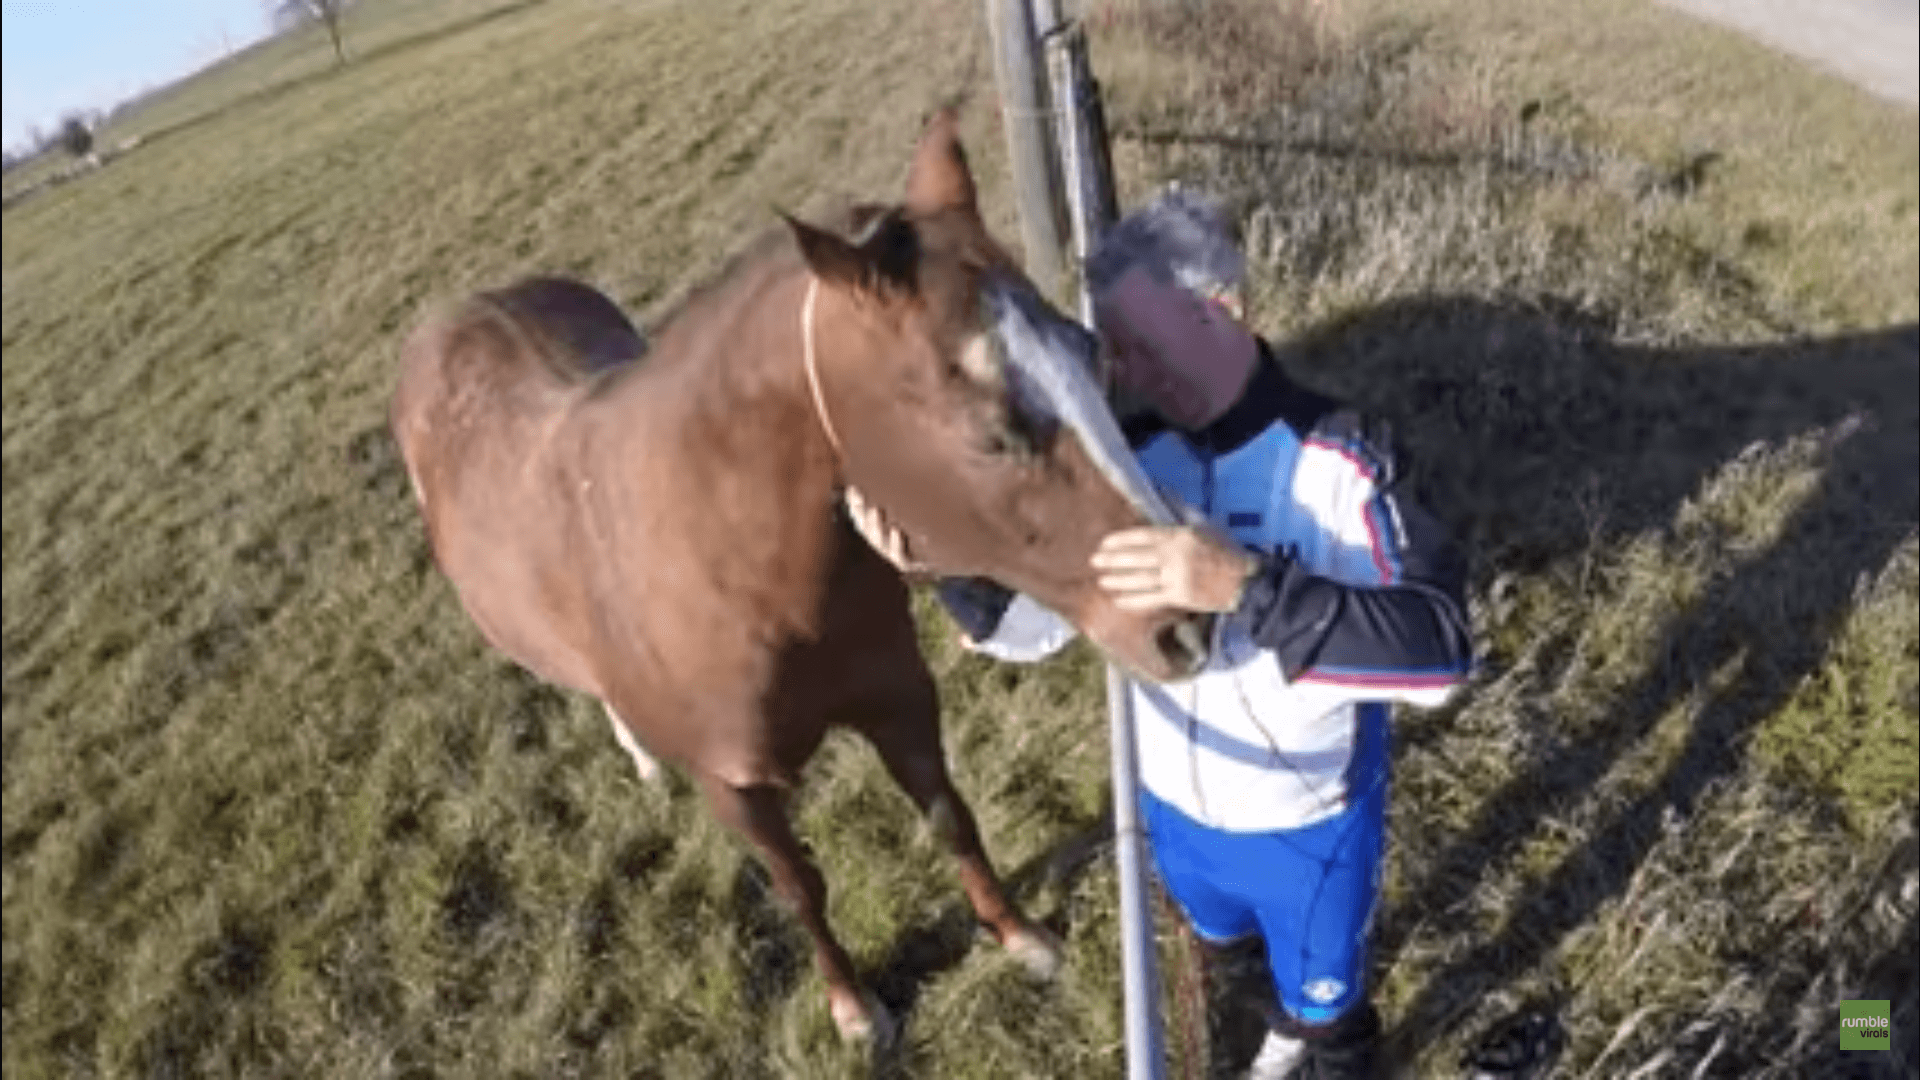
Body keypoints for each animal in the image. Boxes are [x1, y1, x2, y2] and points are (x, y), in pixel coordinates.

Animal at [390, 110, 1211, 1042]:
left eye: (1087, 348)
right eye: (992, 431)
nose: (1188, 620)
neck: (737, 571)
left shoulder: (900, 699)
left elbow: (949, 816)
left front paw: (1019, 936)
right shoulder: (735, 786)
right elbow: (799, 888)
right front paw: (855, 1009)